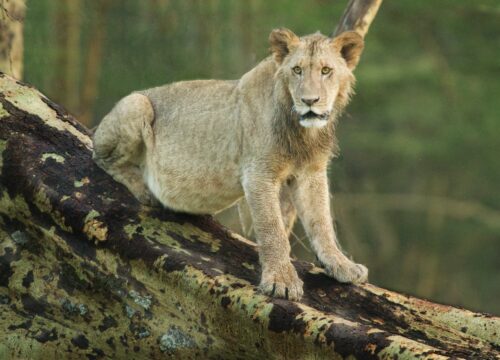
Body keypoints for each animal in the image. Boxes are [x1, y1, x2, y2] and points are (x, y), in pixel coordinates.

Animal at [93, 28, 368, 300]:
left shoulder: (311, 173)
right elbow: (272, 229)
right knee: (102, 158)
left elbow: (321, 223)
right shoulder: (258, 174)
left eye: (326, 70)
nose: (309, 101)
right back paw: (144, 189)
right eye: (297, 70)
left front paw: (342, 265)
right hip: (137, 104)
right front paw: (281, 281)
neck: (303, 132)